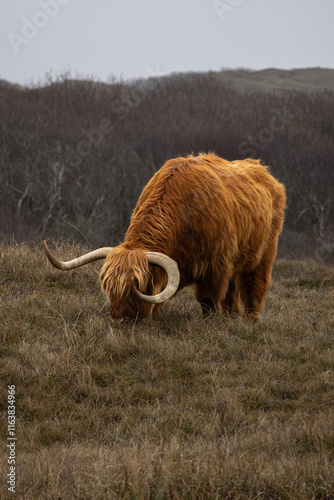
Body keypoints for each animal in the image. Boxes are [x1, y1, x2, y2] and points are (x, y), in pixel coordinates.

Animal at [43, 153, 286, 324]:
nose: (119, 320)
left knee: (254, 288)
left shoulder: (217, 265)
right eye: (109, 287)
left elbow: (209, 299)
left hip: (264, 255)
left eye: (137, 286)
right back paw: (233, 317)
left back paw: (249, 322)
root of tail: (265, 173)